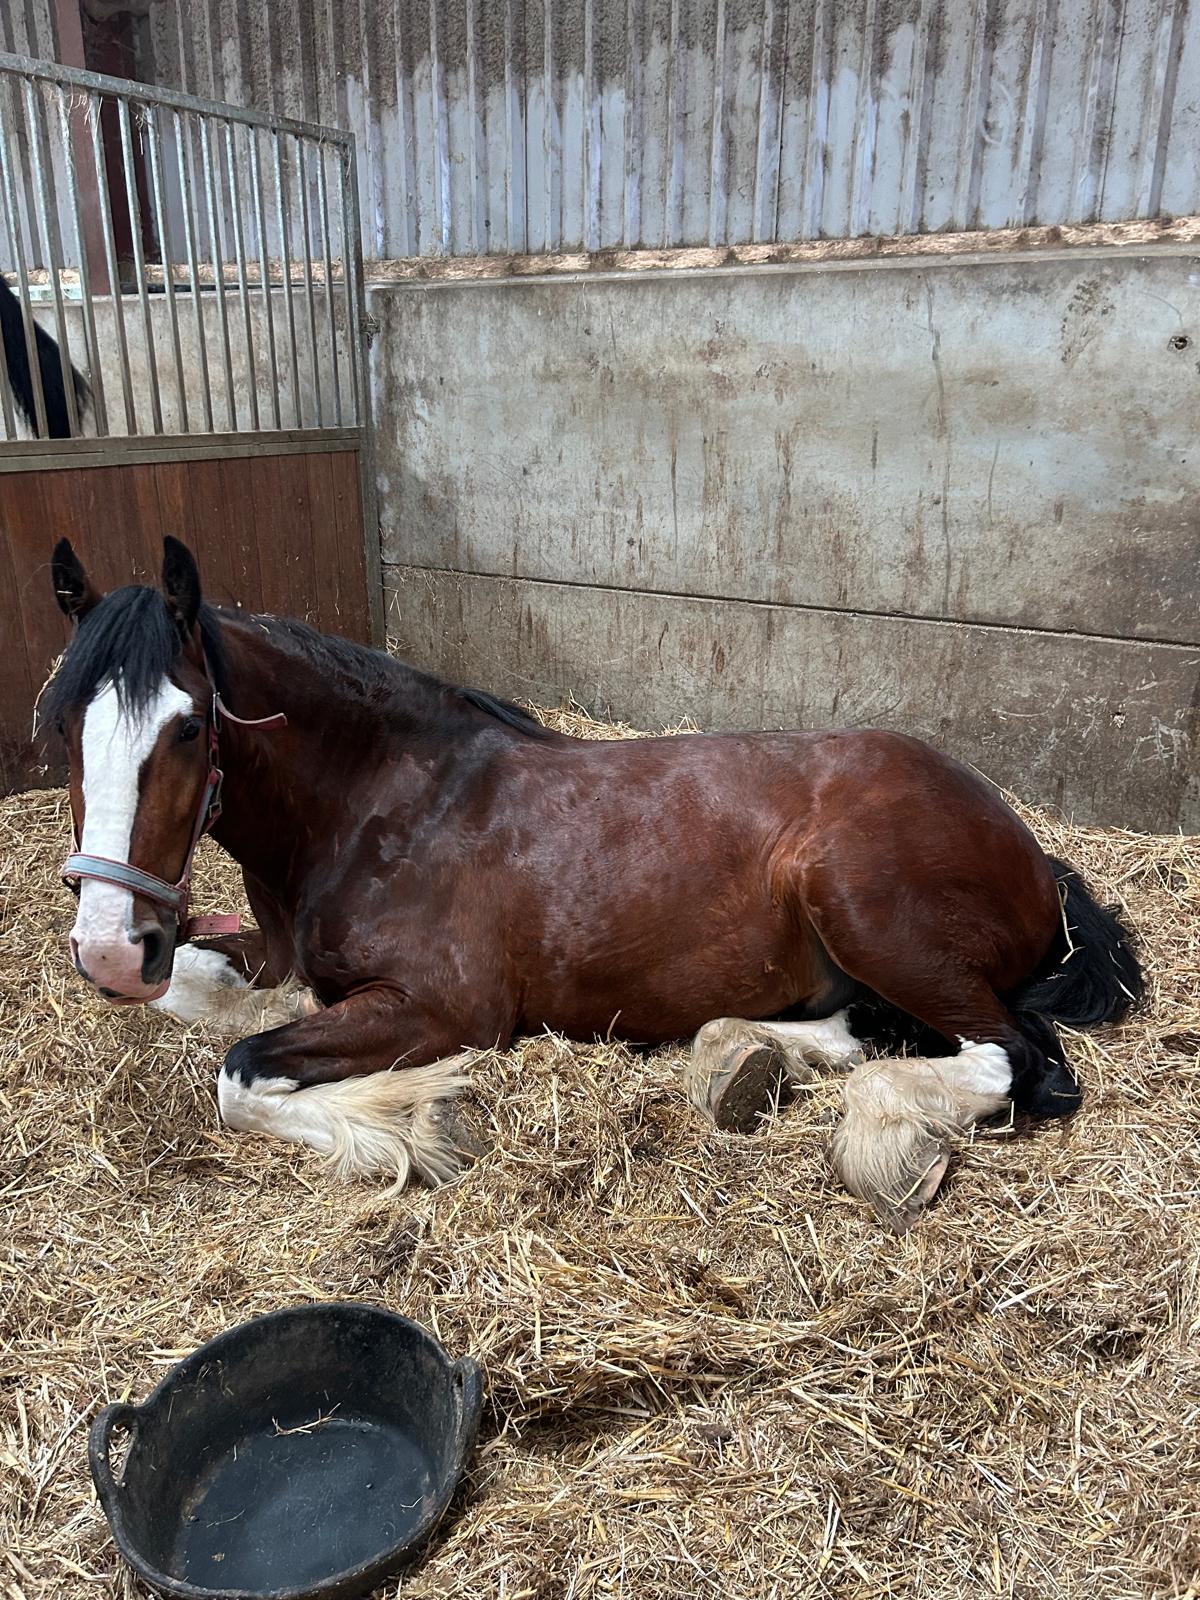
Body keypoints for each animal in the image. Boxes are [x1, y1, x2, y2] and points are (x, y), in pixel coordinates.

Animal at [44, 536, 1143, 1229]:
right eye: (58, 723)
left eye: (190, 727)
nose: (108, 947)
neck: (385, 803)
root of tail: (1029, 849)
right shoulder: (266, 957)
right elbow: (196, 995)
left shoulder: (442, 1006)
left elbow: (241, 1074)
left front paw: (421, 1117)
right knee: (870, 1028)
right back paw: (750, 1056)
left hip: (863, 905)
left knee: (1014, 1059)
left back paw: (880, 1134)